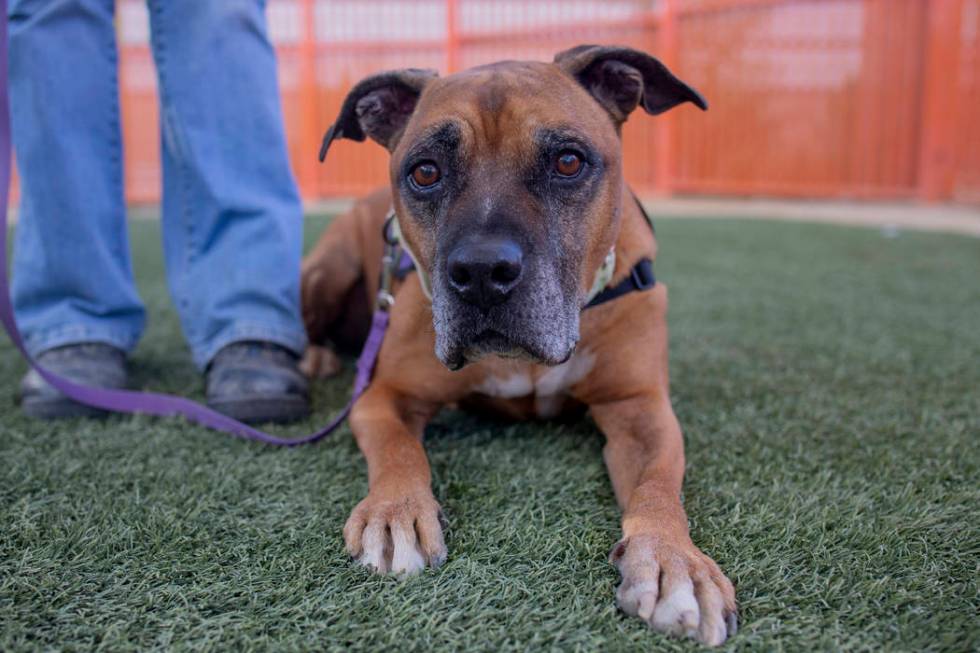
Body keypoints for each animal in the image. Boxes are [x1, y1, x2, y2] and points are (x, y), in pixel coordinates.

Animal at [302, 47, 740, 648]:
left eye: (568, 162)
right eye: (425, 172)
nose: (483, 272)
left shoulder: (640, 409)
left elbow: (657, 486)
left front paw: (676, 564)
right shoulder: (382, 396)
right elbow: (398, 449)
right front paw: (395, 513)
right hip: (329, 269)